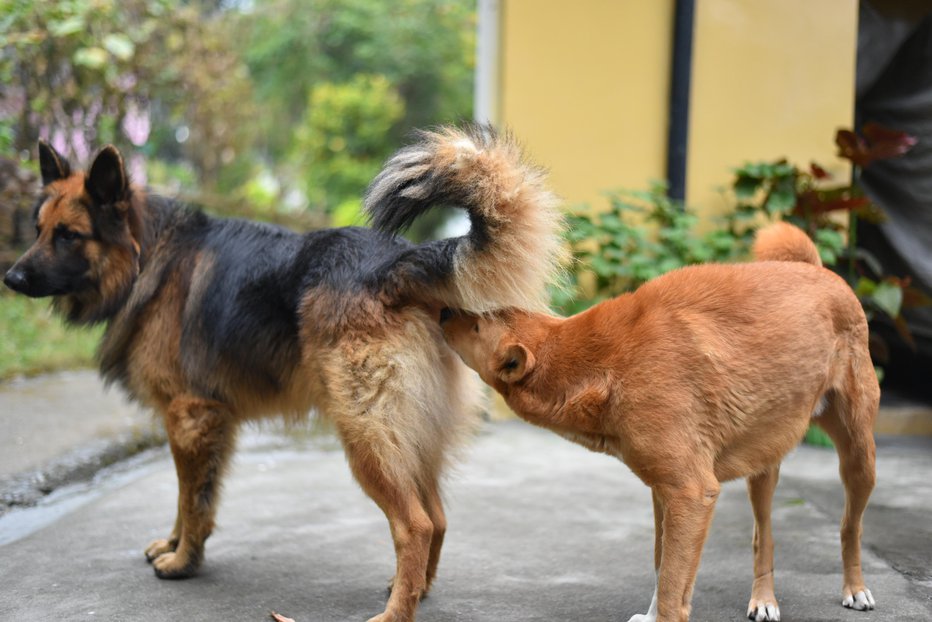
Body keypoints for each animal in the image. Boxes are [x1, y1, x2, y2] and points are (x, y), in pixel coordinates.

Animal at [440, 224, 876, 622]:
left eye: (477, 325)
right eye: (481, 313)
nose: (444, 310)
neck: (601, 366)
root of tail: (817, 270)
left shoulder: (690, 493)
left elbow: (669, 584)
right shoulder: (665, 493)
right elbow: (662, 567)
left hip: (859, 458)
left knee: (849, 528)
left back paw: (855, 588)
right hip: (764, 467)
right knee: (763, 537)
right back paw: (764, 598)